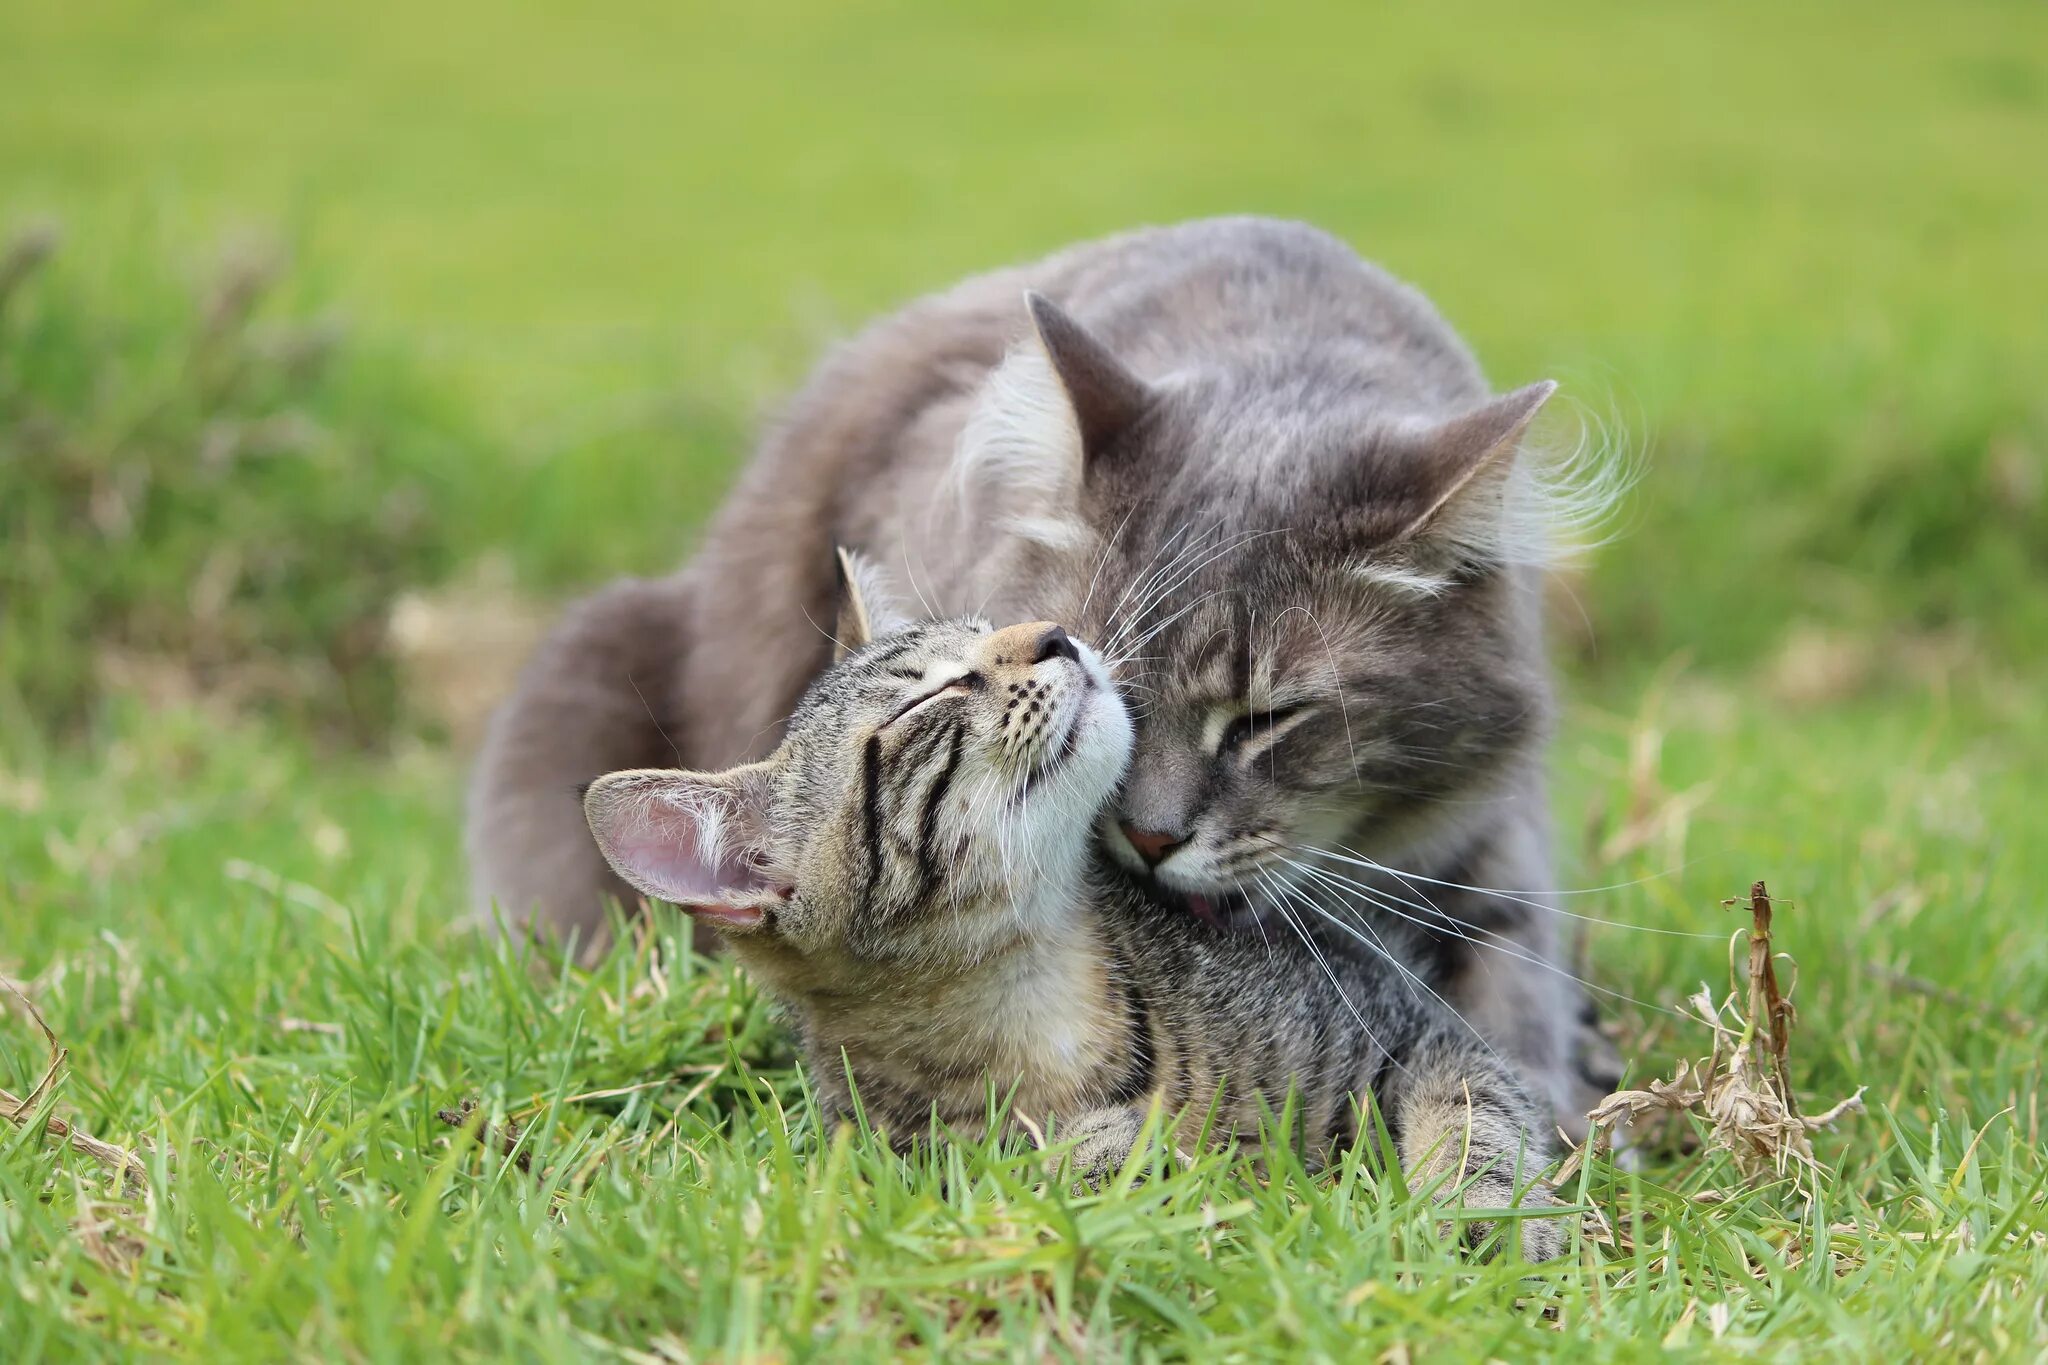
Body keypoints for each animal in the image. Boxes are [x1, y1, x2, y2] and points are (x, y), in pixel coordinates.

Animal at [577, 564, 1548, 1260]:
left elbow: (1477, 1114)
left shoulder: (1408, 1021)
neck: (1034, 996)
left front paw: (1486, 1217)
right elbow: (1015, 1177)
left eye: (985, 624)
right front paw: (1106, 1153)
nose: (1054, 632)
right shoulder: (899, 1159)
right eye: (930, 697)